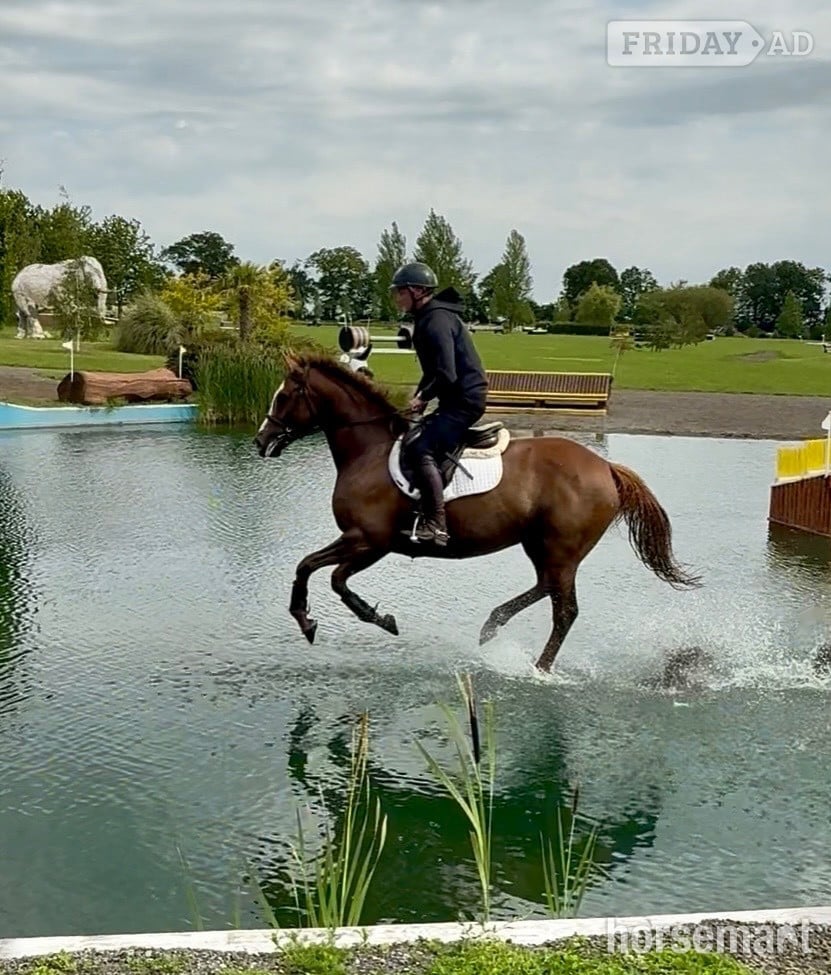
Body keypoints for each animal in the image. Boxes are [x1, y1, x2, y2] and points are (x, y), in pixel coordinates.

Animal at [254, 351, 702, 673]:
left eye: (285, 395)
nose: (261, 440)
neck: (368, 452)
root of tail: (606, 467)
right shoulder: (364, 543)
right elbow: (314, 569)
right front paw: (318, 619)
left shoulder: (368, 541)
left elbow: (326, 576)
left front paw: (354, 619)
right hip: (540, 544)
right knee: (546, 587)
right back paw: (492, 626)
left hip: (561, 548)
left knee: (564, 610)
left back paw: (538, 669)